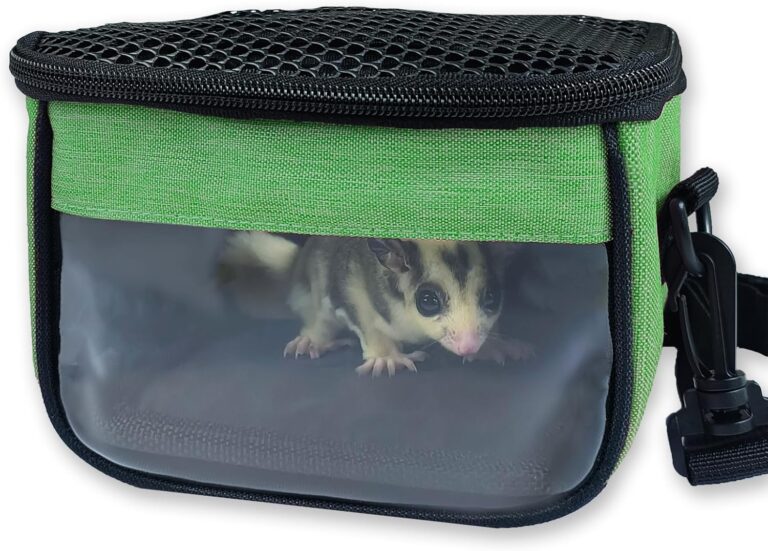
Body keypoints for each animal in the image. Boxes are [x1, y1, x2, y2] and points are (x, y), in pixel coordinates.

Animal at [221, 233, 532, 376]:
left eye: (491, 297)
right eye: (428, 301)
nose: (469, 346)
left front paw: (491, 347)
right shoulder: (350, 283)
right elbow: (364, 319)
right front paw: (387, 358)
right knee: (319, 318)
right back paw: (314, 341)